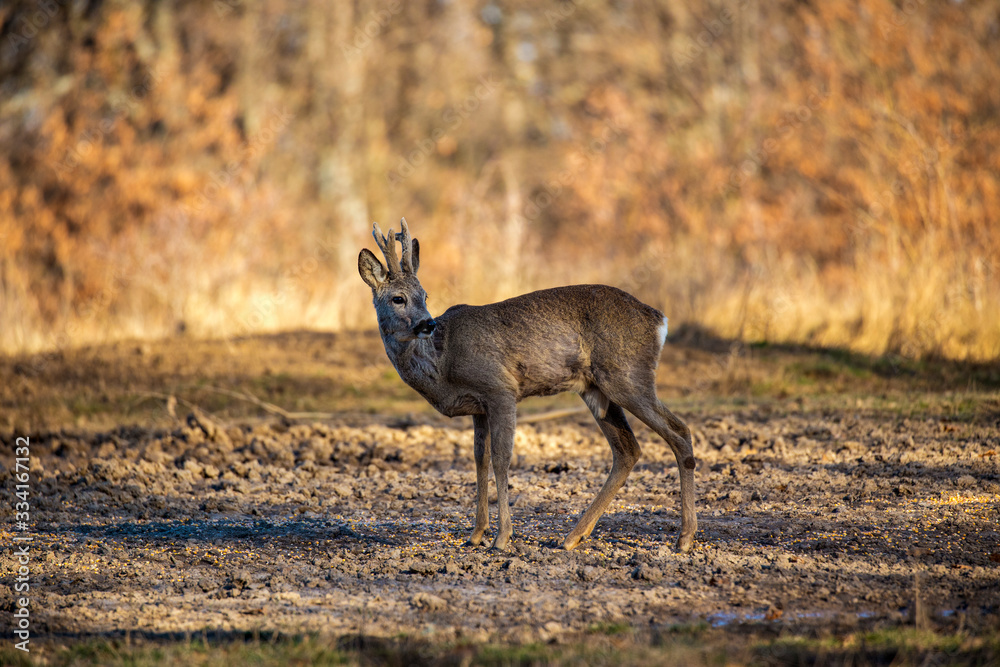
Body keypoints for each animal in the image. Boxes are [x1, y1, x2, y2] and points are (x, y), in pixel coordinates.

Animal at [360, 220, 696, 552]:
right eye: (398, 298)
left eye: (425, 295)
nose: (427, 324)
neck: (442, 363)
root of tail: (659, 319)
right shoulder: (478, 407)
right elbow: (479, 460)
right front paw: (476, 534)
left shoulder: (500, 388)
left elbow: (501, 459)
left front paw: (502, 538)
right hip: (597, 389)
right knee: (628, 450)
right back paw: (573, 537)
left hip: (628, 376)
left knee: (679, 432)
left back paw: (684, 538)